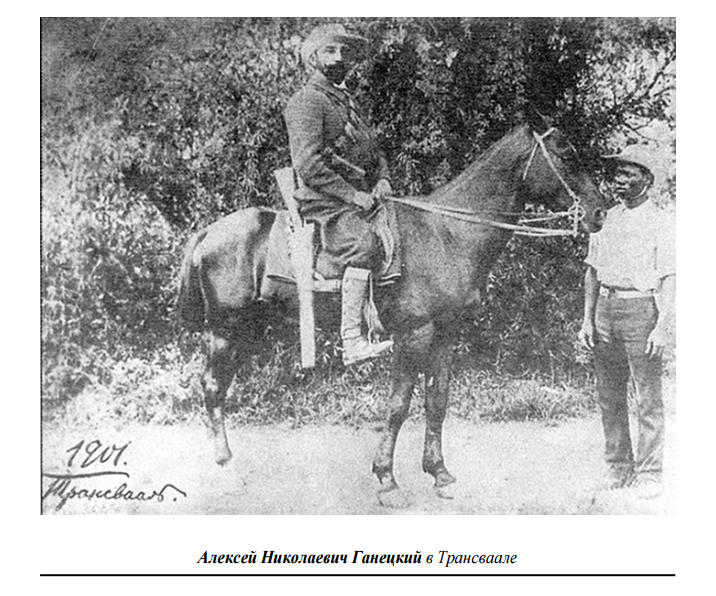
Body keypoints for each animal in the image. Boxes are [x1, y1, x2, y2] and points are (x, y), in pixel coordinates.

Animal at [176, 120, 608, 508]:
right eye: (566, 154)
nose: (600, 213)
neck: (448, 233)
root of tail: (208, 233)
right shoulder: (414, 334)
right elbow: (399, 406)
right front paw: (386, 479)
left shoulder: (445, 333)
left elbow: (437, 400)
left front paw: (439, 473)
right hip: (226, 329)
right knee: (212, 388)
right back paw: (227, 468)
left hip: (247, 329)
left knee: (218, 389)